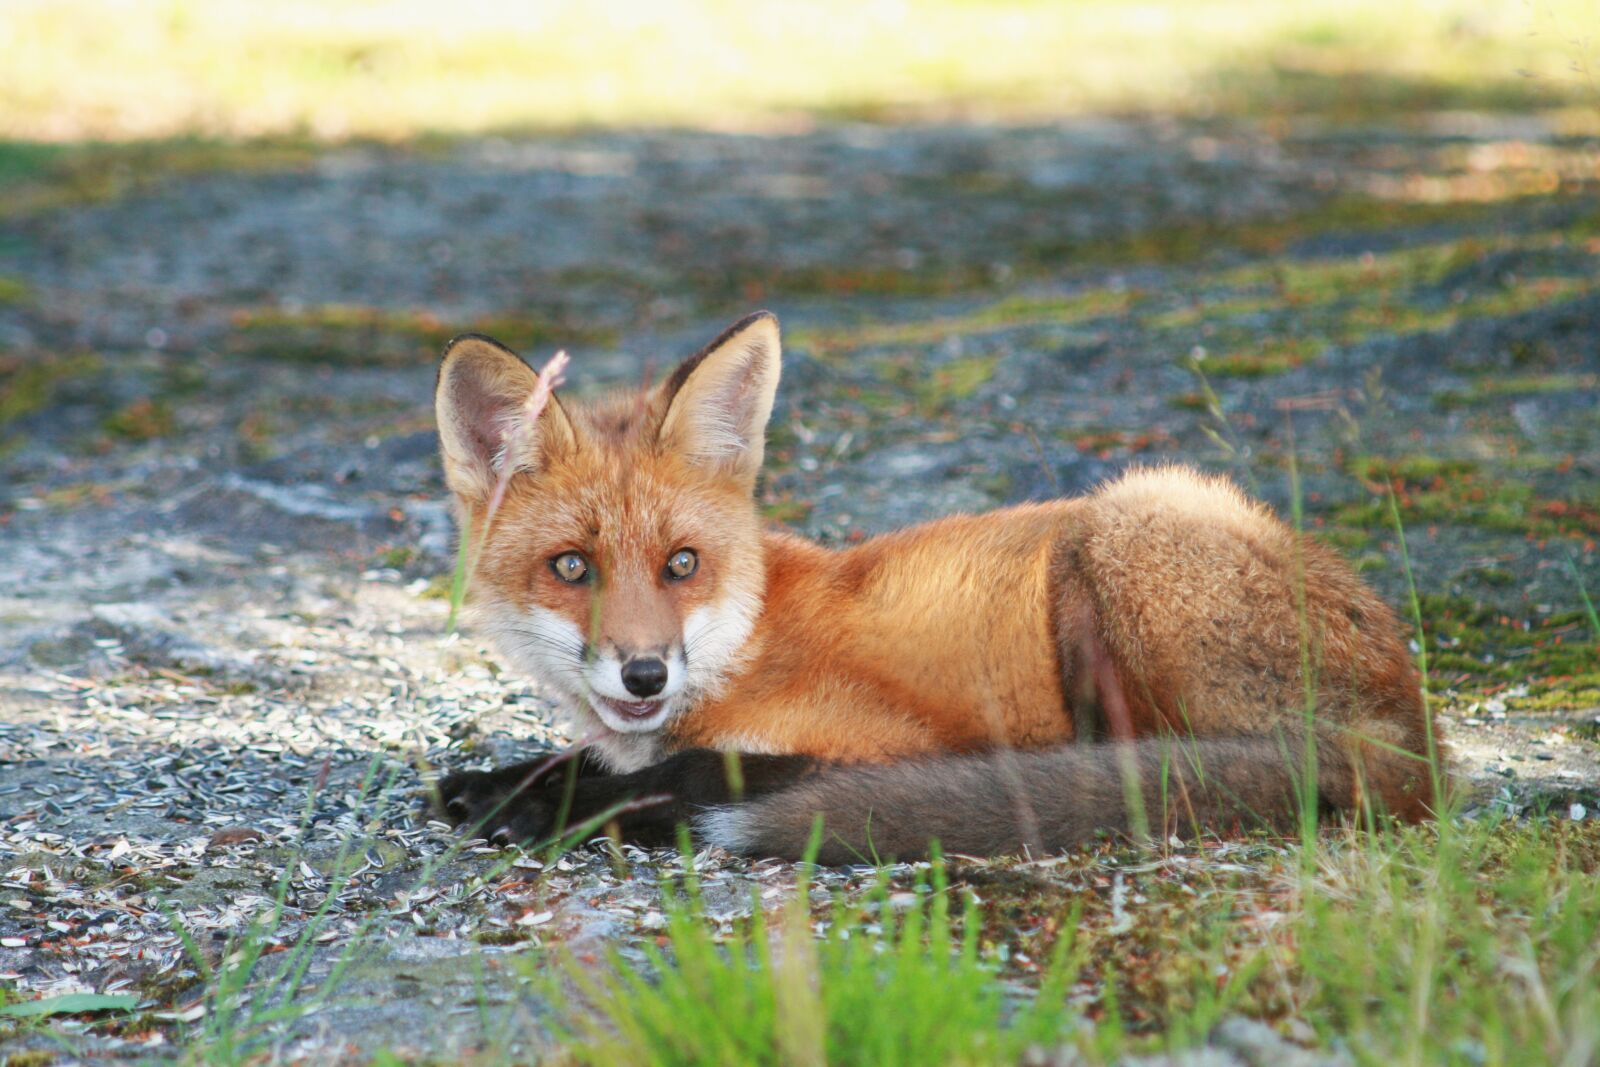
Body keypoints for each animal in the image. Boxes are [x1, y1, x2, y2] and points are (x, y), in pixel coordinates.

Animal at [432, 311, 1442, 864]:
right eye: (572, 567)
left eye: (682, 563)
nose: (645, 673)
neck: (744, 643)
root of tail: (1416, 737)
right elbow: (586, 759)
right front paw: (502, 783)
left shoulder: (881, 737)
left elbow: (686, 770)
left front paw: (548, 804)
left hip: (1120, 529)